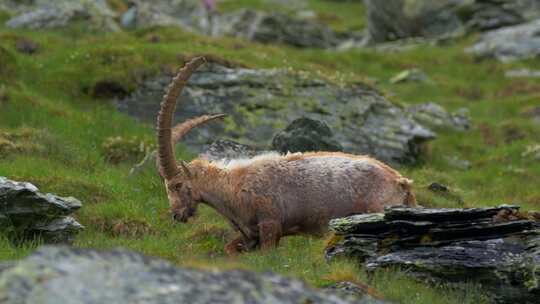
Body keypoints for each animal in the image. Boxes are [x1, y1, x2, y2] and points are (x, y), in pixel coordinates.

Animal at [157, 55, 418, 253]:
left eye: (177, 185)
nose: (176, 215)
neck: (232, 186)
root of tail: (401, 182)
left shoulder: (270, 225)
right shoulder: (250, 235)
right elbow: (230, 248)